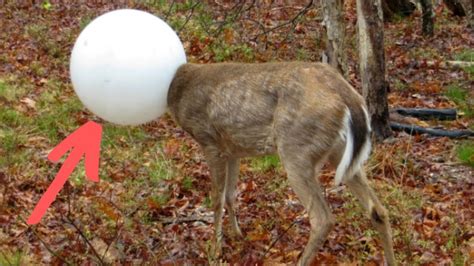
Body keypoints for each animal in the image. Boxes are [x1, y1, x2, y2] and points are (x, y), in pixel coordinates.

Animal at [167, 62, 396, 266]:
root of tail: (350, 97)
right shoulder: (232, 149)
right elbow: (231, 195)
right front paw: (238, 235)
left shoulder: (209, 141)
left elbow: (217, 199)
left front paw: (215, 251)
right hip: (339, 153)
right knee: (378, 210)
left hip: (296, 150)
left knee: (322, 219)